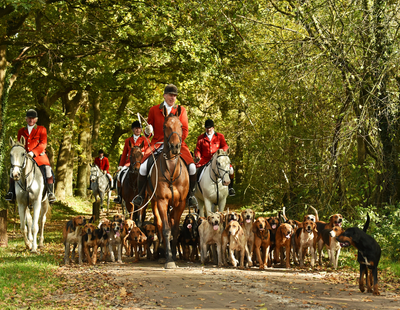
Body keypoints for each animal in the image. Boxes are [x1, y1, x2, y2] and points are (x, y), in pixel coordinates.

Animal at [149, 105, 190, 268]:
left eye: (181, 126)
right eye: (165, 126)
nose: (175, 147)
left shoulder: (181, 203)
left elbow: (175, 229)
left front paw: (173, 254)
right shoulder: (162, 201)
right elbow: (166, 229)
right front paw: (169, 259)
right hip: (154, 203)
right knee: (159, 223)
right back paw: (161, 253)